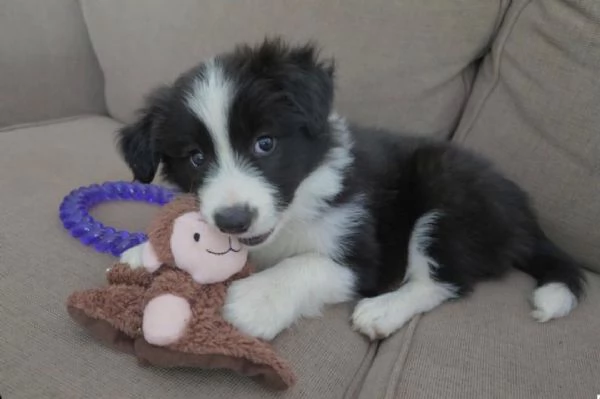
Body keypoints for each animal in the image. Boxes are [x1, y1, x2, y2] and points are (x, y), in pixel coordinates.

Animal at [117, 38, 584, 340]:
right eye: (196, 157)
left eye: (265, 143)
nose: (233, 221)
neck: (295, 211)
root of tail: (525, 216)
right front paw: (145, 253)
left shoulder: (365, 255)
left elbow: (304, 265)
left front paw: (254, 301)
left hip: (450, 195)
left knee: (444, 280)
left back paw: (384, 310)